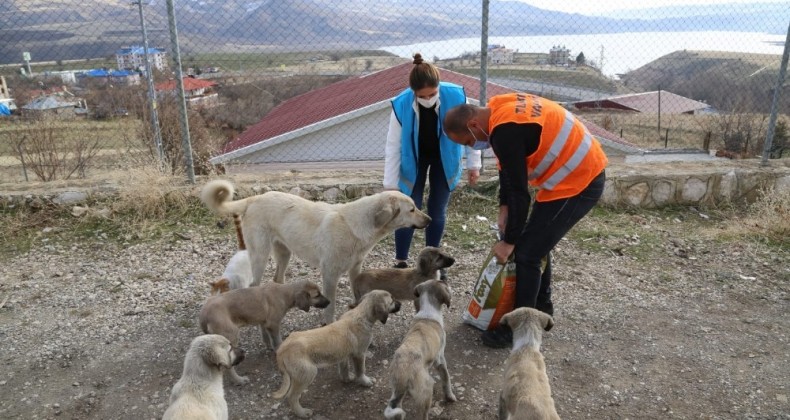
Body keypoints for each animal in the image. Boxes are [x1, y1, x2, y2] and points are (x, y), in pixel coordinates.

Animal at [201, 180, 430, 324]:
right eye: (412, 209)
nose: (429, 220)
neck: (356, 225)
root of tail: (255, 198)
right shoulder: (329, 275)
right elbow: (330, 306)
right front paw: (329, 322)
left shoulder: (355, 270)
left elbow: (358, 295)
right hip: (259, 256)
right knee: (254, 284)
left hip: (284, 254)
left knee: (277, 279)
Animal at [201, 280, 334, 386]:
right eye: (317, 295)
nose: (329, 302)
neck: (285, 293)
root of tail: (204, 314)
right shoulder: (274, 324)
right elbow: (278, 341)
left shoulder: (264, 323)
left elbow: (266, 337)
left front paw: (269, 347)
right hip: (231, 335)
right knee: (228, 366)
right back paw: (239, 380)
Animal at [276, 290, 406, 418]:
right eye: (392, 300)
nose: (401, 304)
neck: (362, 313)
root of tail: (281, 350)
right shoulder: (360, 354)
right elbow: (361, 370)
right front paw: (365, 381)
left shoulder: (344, 354)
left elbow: (344, 368)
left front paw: (347, 379)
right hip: (307, 373)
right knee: (292, 397)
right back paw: (302, 413)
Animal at [386, 278, 458, 420]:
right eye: (441, 282)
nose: (444, 279)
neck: (427, 312)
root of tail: (403, 372)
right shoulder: (441, 360)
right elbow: (446, 380)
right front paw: (450, 397)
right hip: (426, 392)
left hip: (397, 397)